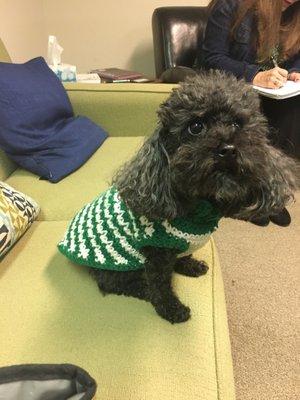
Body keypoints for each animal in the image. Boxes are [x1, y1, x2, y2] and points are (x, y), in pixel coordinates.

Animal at [58, 70, 298, 324]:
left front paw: (189, 266)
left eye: (237, 123)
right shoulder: (156, 254)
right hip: (117, 266)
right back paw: (142, 289)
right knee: (113, 283)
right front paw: (171, 309)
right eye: (196, 126)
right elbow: (160, 285)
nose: (228, 149)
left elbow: (181, 257)